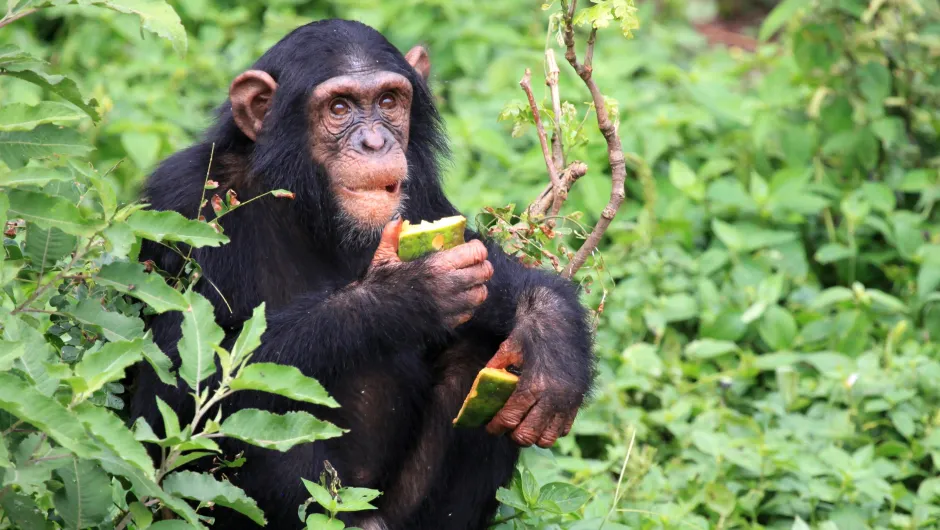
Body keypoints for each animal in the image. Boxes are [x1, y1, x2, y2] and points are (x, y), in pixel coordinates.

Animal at [130, 18, 596, 524]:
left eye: (389, 102)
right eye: (339, 107)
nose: (375, 142)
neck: (306, 203)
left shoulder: (422, 191)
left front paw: (551, 332)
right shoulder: (183, 201)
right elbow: (169, 394)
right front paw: (402, 295)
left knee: (482, 348)